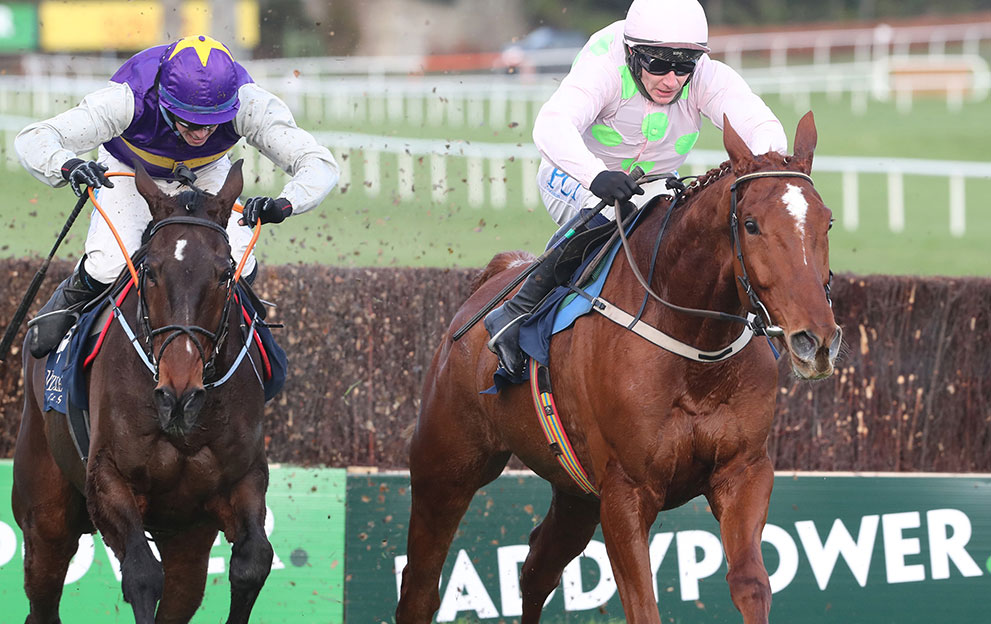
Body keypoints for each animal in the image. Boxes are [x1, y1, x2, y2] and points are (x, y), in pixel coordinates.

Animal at [12, 161, 274, 624]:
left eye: (226, 273)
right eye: (150, 270)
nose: (178, 395)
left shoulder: (241, 480)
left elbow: (253, 561)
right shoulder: (108, 479)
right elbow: (141, 574)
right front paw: (79, 170)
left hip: (186, 538)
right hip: (45, 517)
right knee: (42, 602)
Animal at [396, 112, 841, 624]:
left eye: (827, 222)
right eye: (750, 225)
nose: (816, 340)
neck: (695, 351)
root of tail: (495, 278)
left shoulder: (743, 471)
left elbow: (750, 583)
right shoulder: (626, 491)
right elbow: (642, 604)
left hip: (575, 493)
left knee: (537, 568)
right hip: (446, 467)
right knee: (420, 587)